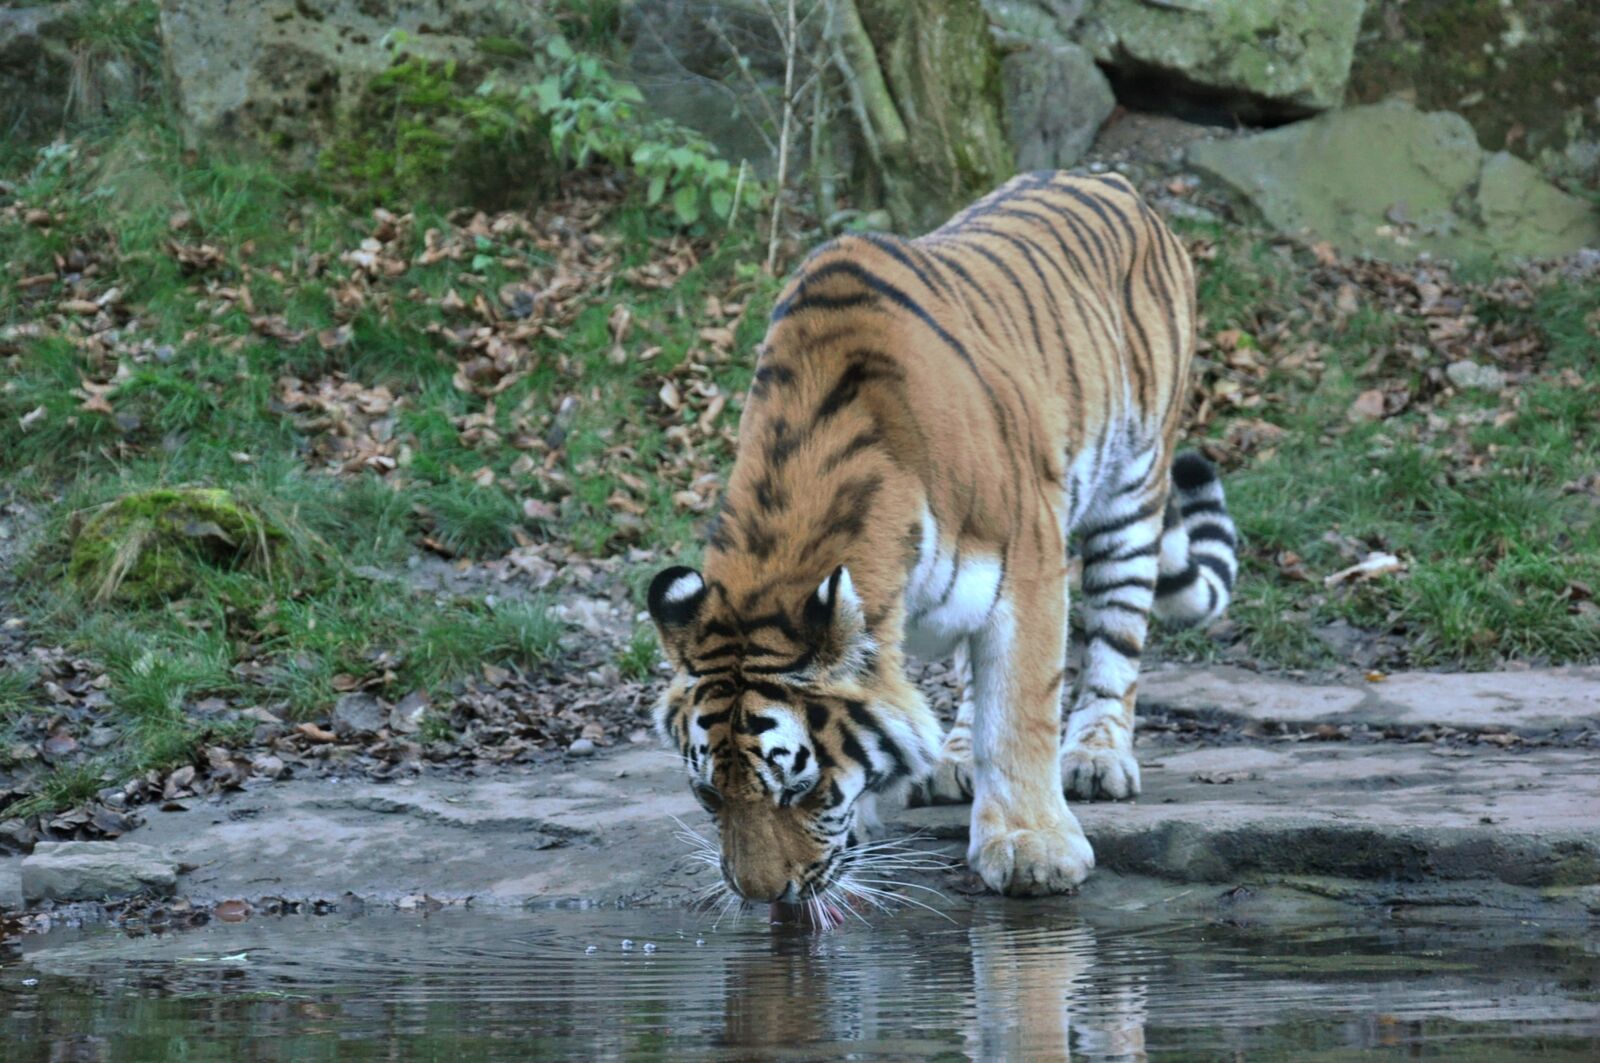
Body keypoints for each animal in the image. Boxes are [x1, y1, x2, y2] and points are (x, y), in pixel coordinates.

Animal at [646, 170, 1238, 900]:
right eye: (708, 795)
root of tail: (1111, 178)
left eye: (802, 788)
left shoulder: (1031, 565)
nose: (763, 896)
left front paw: (1033, 848)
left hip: (1133, 484)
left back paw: (1097, 755)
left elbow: (1019, 713)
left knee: (1116, 639)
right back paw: (953, 759)